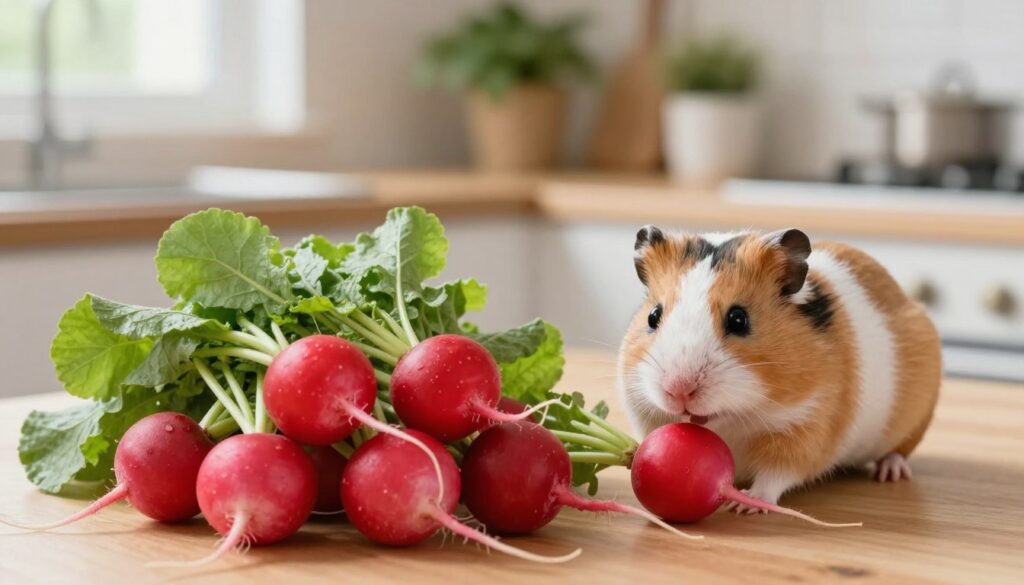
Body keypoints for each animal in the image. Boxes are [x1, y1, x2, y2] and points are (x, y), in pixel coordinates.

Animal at [618, 226, 941, 508]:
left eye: (739, 319)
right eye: (653, 316)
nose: (679, 390)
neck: (732, 419)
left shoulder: (806, 426)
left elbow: (776, 475)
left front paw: (747, 504)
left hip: (915, 421)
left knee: (899, 452)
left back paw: (890, 472)